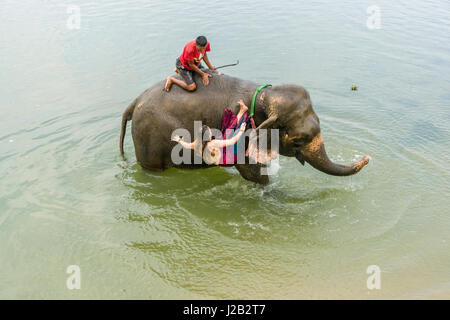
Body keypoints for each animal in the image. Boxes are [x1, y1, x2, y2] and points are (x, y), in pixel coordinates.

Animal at [119, 71, 370, 184]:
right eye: (298, 140)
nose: (367, 158)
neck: (266, 95)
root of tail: (133, 102)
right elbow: (250, 170)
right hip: (148, 141)